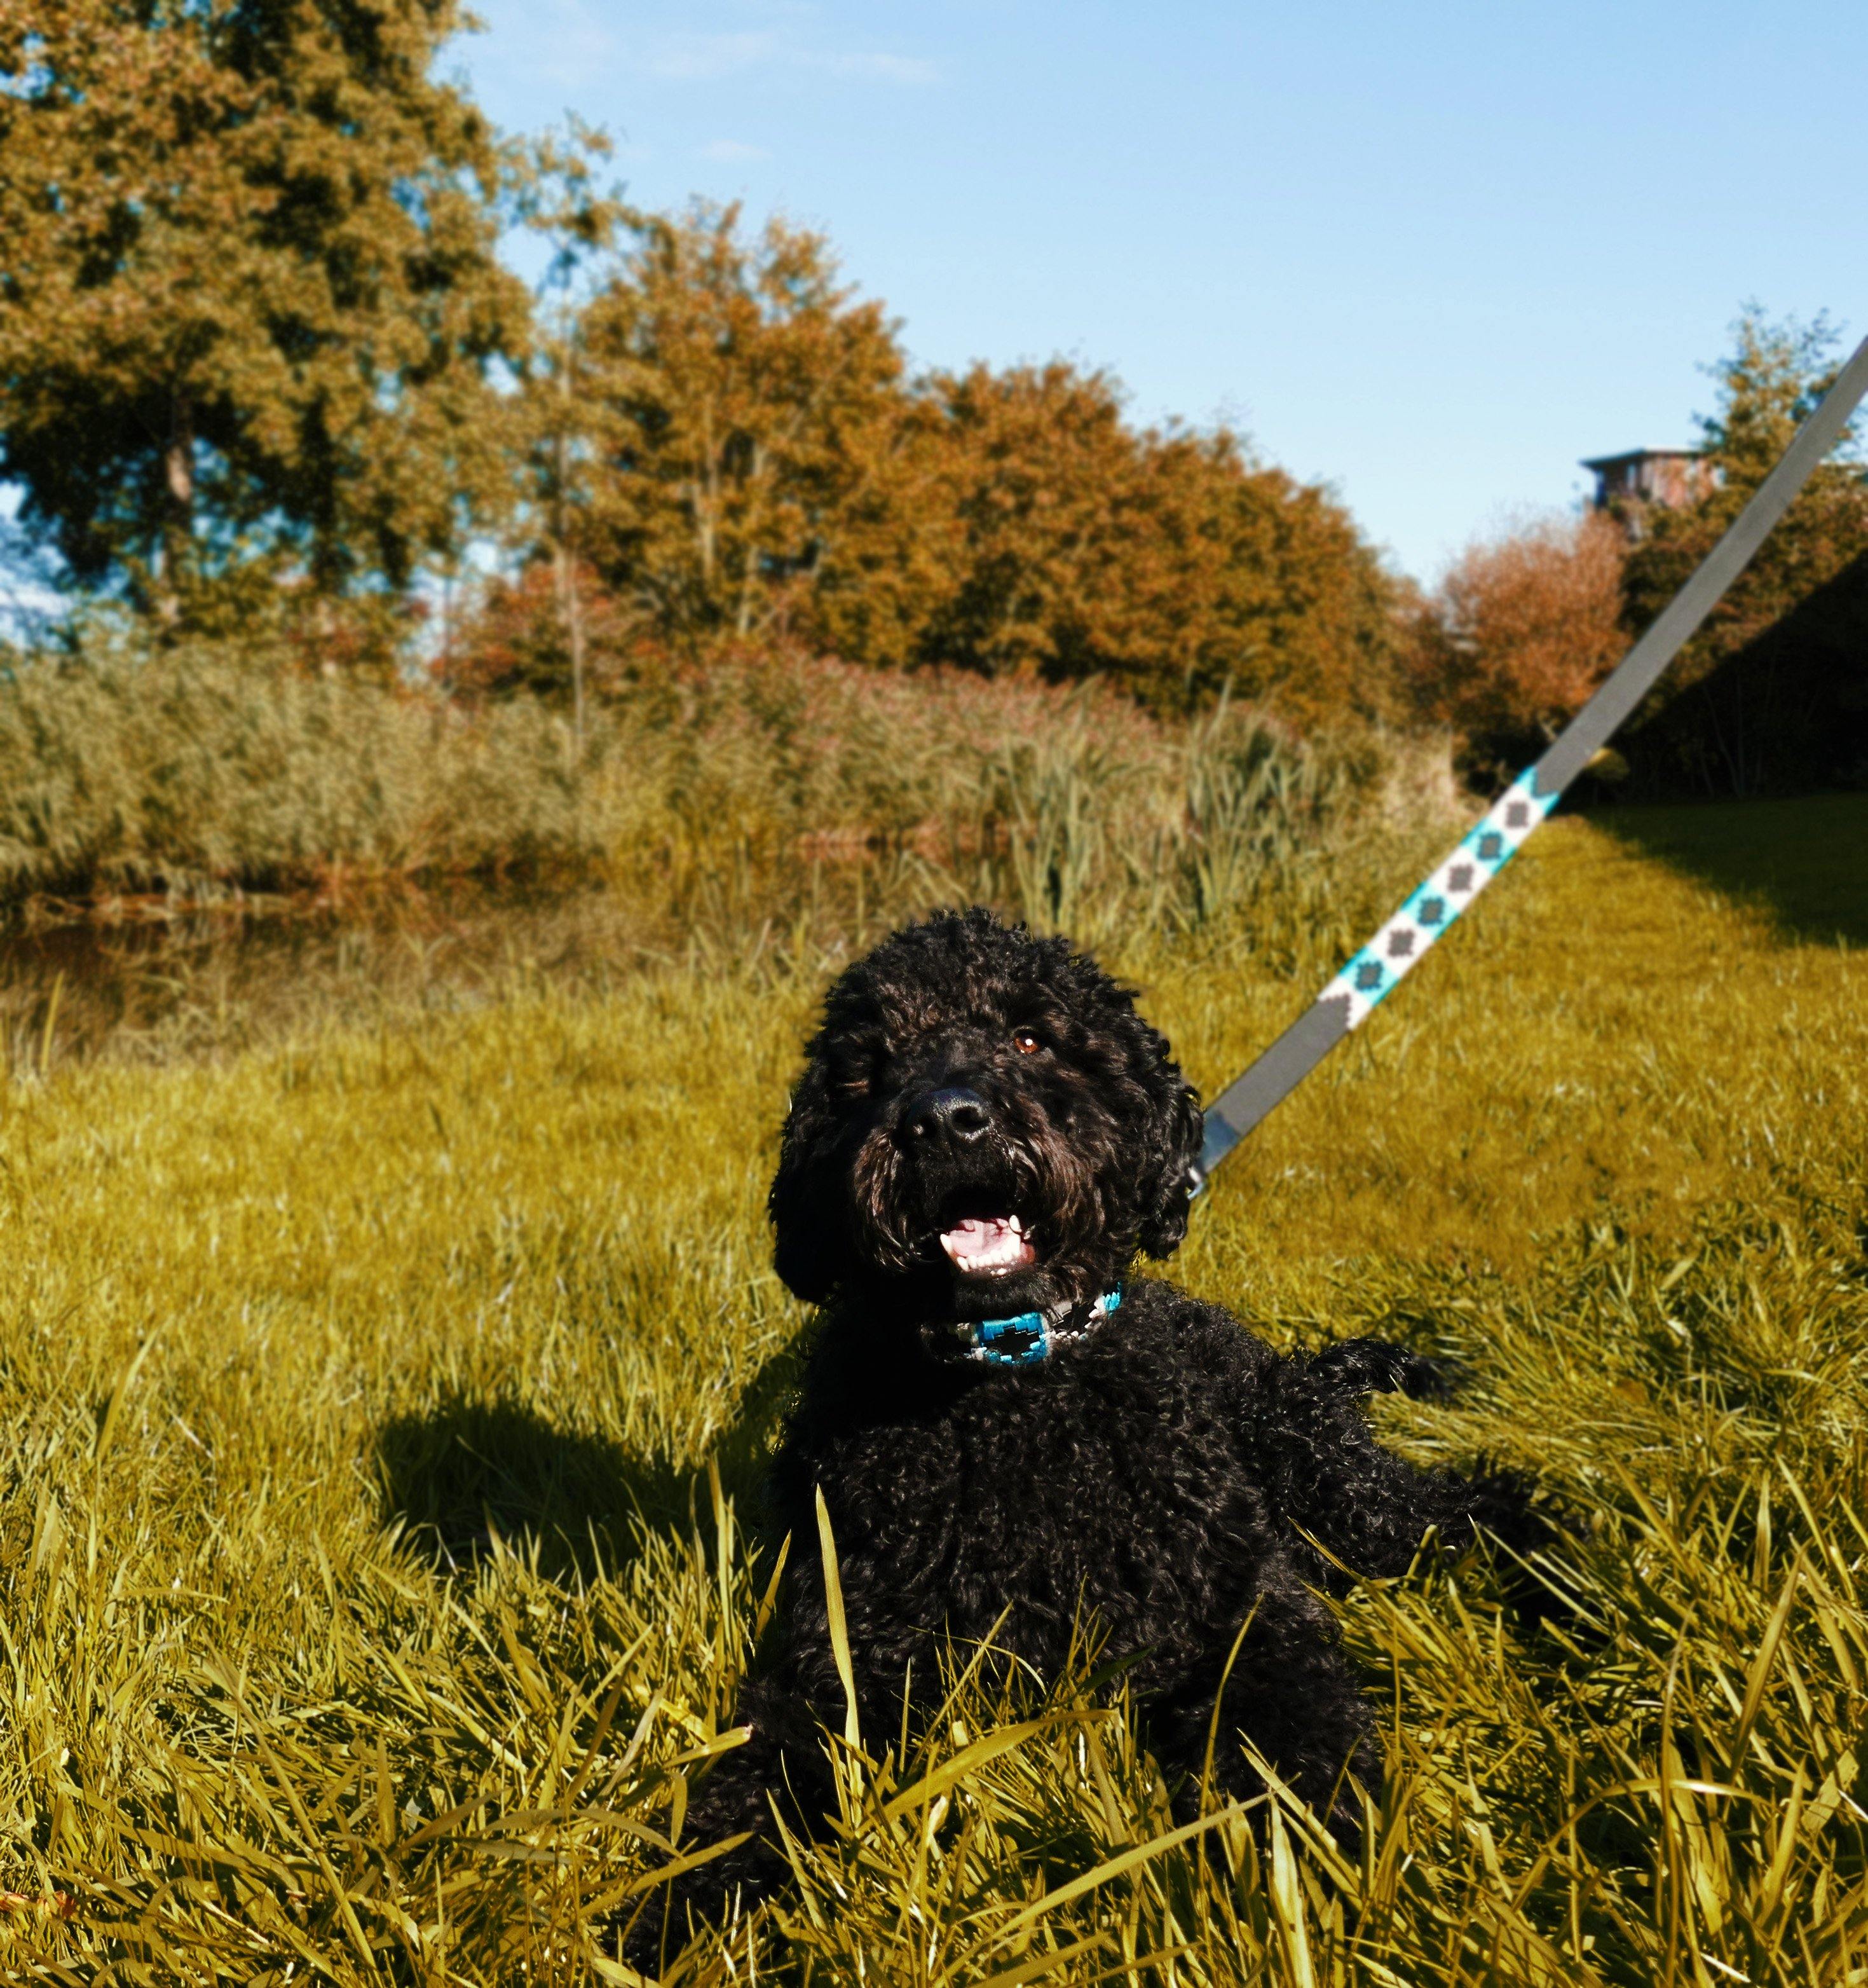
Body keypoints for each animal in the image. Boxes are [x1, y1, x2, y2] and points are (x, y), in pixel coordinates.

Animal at [644, 914, 1518, 1956]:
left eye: (1031, 1037)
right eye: (870, 1065)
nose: (944, 1119)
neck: (1011, 1397)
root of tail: (1295, 1366)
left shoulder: (1238, 1609)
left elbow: (1294, 1737)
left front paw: (1312, 1866)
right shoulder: (846, 1645)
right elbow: (761, 1780)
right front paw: (694, 1905)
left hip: (1339, 1489)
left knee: (1479, 1501)